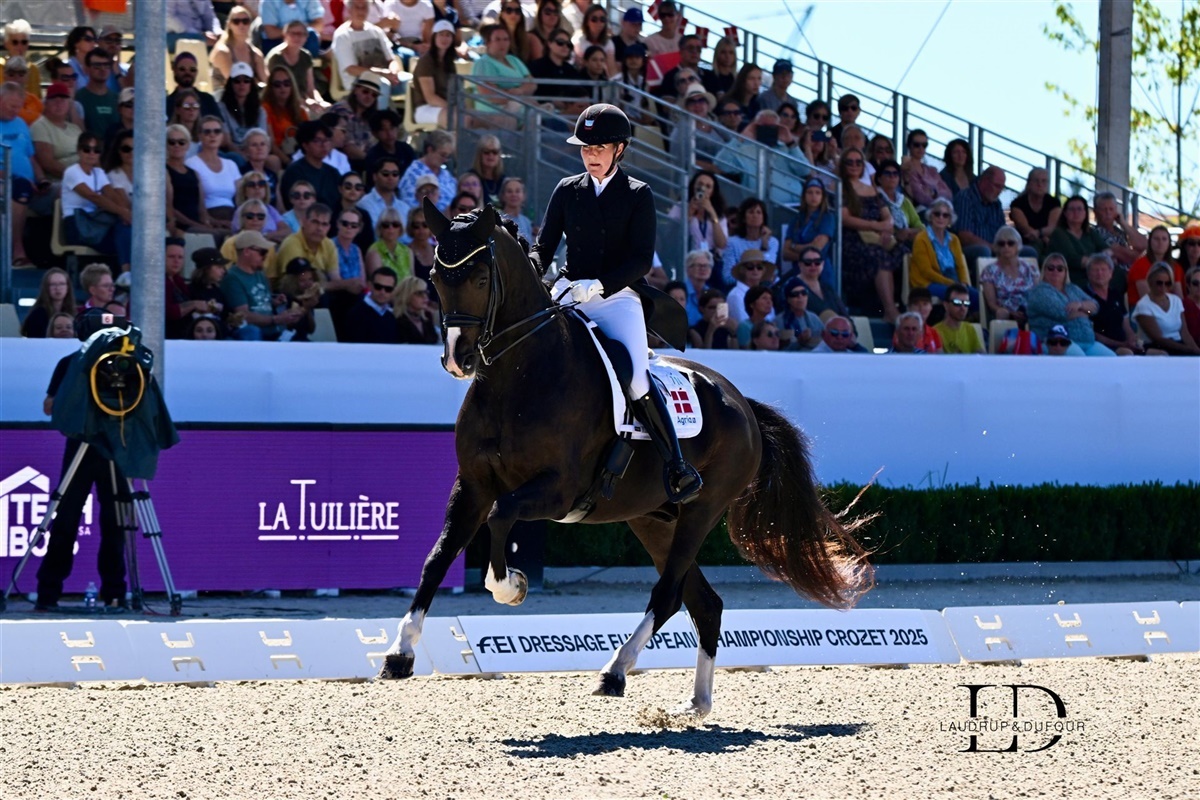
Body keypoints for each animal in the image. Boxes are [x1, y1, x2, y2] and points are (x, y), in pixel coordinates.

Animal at [379, 199, 873, 718]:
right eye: (435, 276)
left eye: (478, 278)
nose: (460, 359)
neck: (519, 377)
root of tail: (742, 404)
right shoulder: (472, 485)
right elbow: (437, 557)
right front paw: (399, 652)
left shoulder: (558, 489)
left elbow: (501, 517)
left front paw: (511, 585)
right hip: (652, 519)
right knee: (704, 602)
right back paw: (695, 704)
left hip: (700, 510)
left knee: (669, 594)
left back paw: (614, 671)